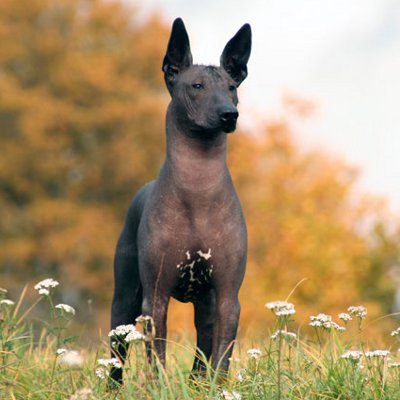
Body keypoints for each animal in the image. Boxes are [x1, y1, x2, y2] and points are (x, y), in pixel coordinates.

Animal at [111, 17, 252, 382]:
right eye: (197, 86)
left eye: (232, 87)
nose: (229, 114)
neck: (197, 189)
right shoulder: (155, 297)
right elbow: (156, 357)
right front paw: (158, 387)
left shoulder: (228, 297)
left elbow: (221, 357)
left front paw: (218, 387)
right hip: (123, 301)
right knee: (115, 354)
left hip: (206, 306)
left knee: (203, 351)